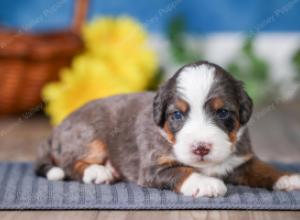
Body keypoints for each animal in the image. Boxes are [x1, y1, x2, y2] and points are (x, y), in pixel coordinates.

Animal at [35, 60, 300, 198]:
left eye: (223, 112)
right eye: (177, 115)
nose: (201, 148)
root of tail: (56, 130)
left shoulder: (241, 159)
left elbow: (263, 168)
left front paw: (287, 177)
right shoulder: (153, 167)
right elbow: (182, 171)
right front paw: (206, 183)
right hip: (90, 136)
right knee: (69, 163)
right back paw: (98, 172)